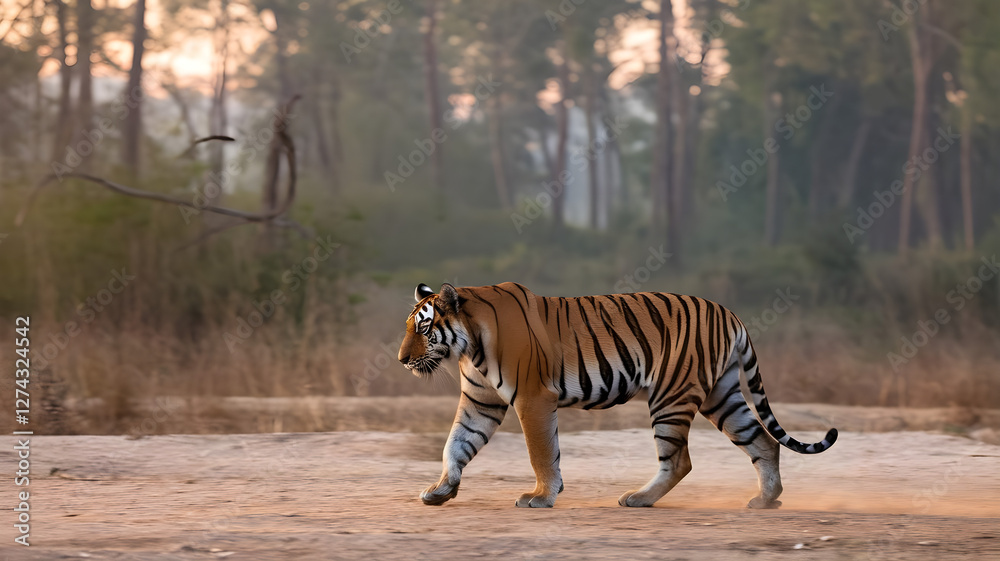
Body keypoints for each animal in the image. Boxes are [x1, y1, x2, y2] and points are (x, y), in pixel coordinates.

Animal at [397, 282, 837, 508]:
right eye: (409, 327)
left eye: (423, 328)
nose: (401, 359)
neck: (468, 344)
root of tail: (731, 315)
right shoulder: (481, 402)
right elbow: (455, 445)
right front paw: (440, 491)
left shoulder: (533, 399)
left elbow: (541, 453)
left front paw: (541, 496)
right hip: (722, 394)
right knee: (763, 441)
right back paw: (765, 499)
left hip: (671, 396)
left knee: (679, 460)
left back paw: (639, 498)